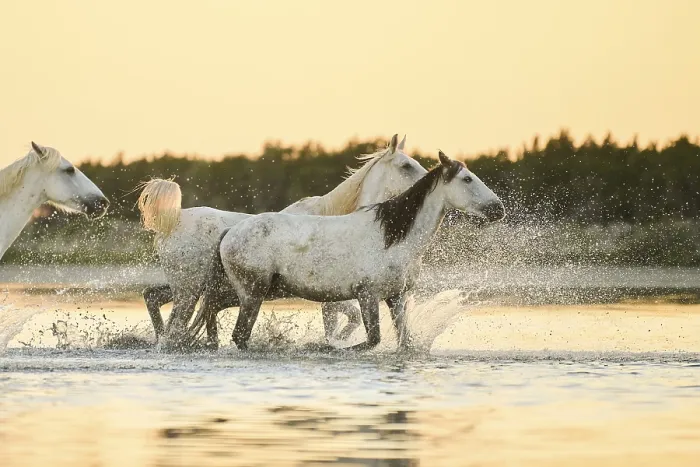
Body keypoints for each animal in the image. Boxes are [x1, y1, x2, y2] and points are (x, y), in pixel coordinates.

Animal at [137, 134, 427, 348]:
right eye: (406, 165)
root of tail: (173, 221)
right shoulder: (332, 297)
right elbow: (349, 320)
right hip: (188, 291)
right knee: (173, 326)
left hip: (189, 288)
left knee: (152, 297)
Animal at [214, 151, 504, 352]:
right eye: (467, 179)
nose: (498, 208)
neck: (393, 239)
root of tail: (230, 232)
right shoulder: (367, 296)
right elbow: (370, 340)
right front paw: (322, 346)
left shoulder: (396, 297)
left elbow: (404, 342)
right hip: (253, 293)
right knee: (239, 335)